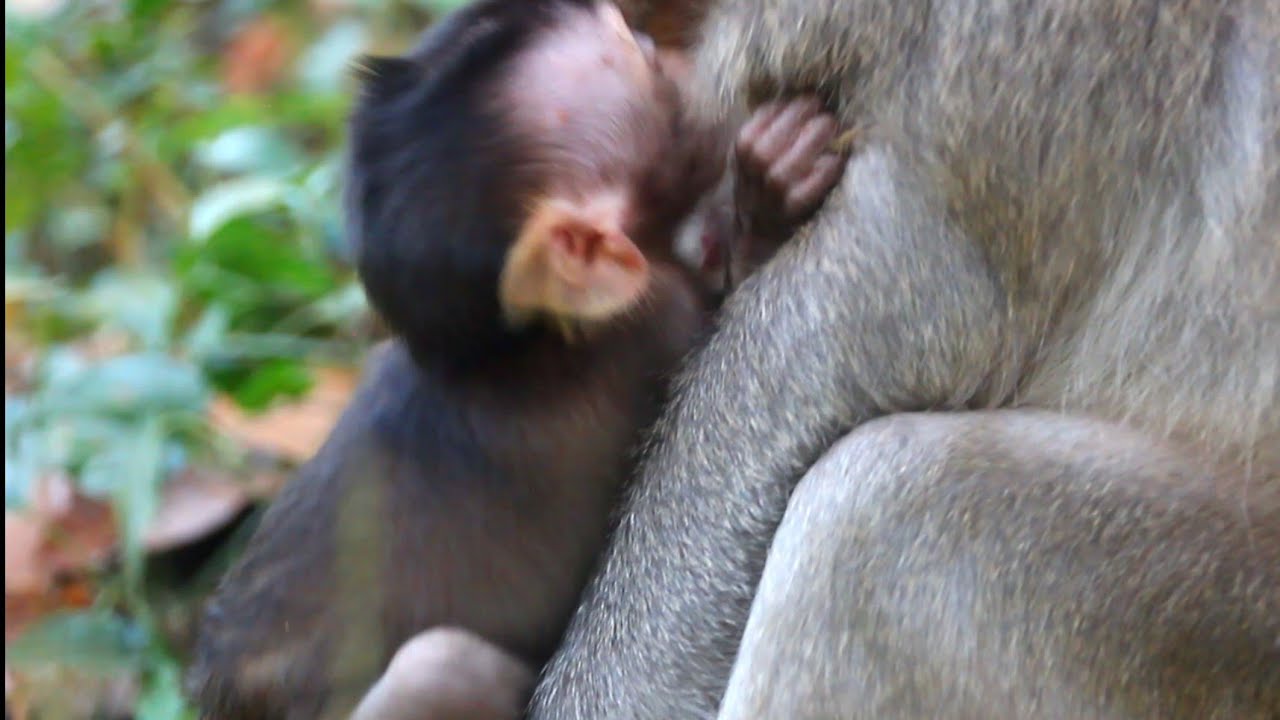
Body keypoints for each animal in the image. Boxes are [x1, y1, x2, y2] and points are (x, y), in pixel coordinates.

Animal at [184, 1, 846, 718]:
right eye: (645, 59)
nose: (678, 53)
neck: (509, 343)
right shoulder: (649, 319)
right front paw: (772, 191)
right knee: (441, 668)